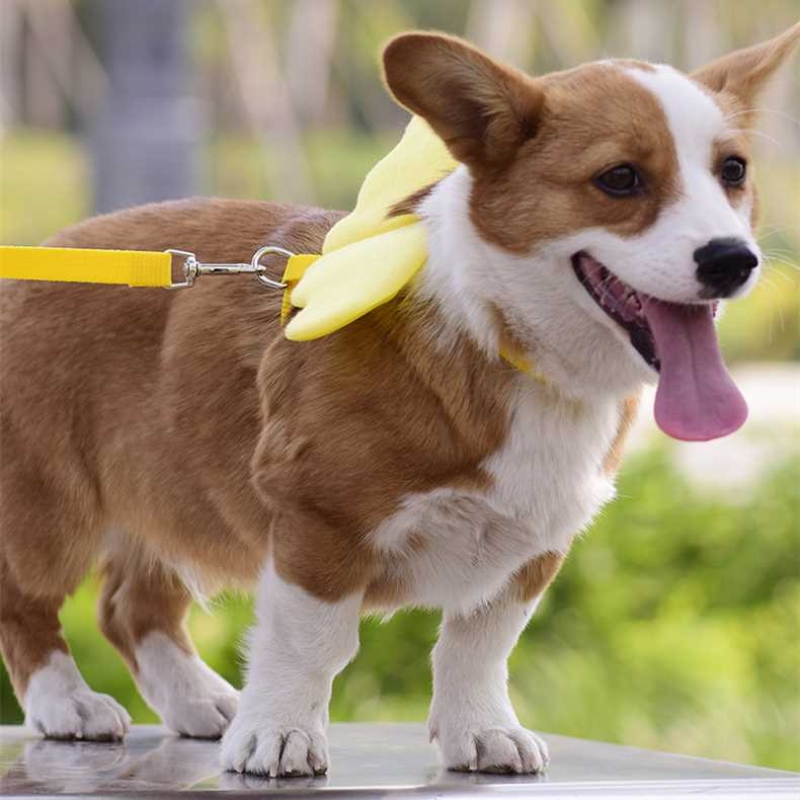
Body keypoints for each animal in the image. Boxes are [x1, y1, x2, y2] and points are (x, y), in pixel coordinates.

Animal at [0, 23, 796, 776]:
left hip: (173, 489)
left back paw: (199, 701)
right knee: (27, 602)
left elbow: (478, 646)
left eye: (733, 171)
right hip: (51, 505)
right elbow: (312, 643)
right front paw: (280, 736)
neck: (507, 340)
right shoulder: (319, 523)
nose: (733, 260)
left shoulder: (531, 546)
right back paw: (68, 703)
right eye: (621, 178)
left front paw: (482, 731)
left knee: (131, 607)